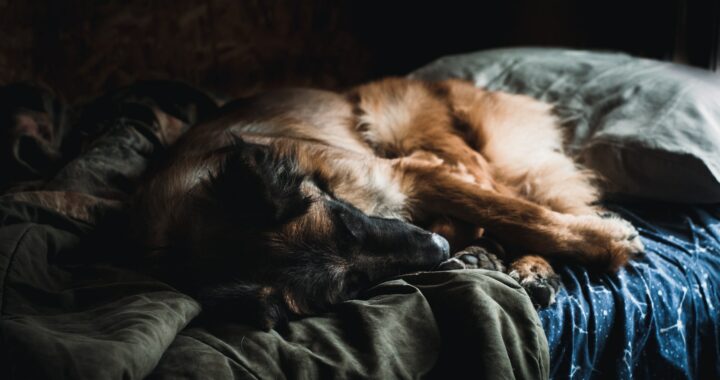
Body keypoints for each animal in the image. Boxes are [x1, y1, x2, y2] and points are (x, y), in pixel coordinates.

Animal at [132, 77, 644, 330]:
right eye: (354, 284)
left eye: (347, 221)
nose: (436, 250)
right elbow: (493, 215)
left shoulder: (408, 174)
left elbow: (519, 214)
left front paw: (605, 241)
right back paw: (483, 257)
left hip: (409, 130)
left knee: (511, 195)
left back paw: (529, 265)